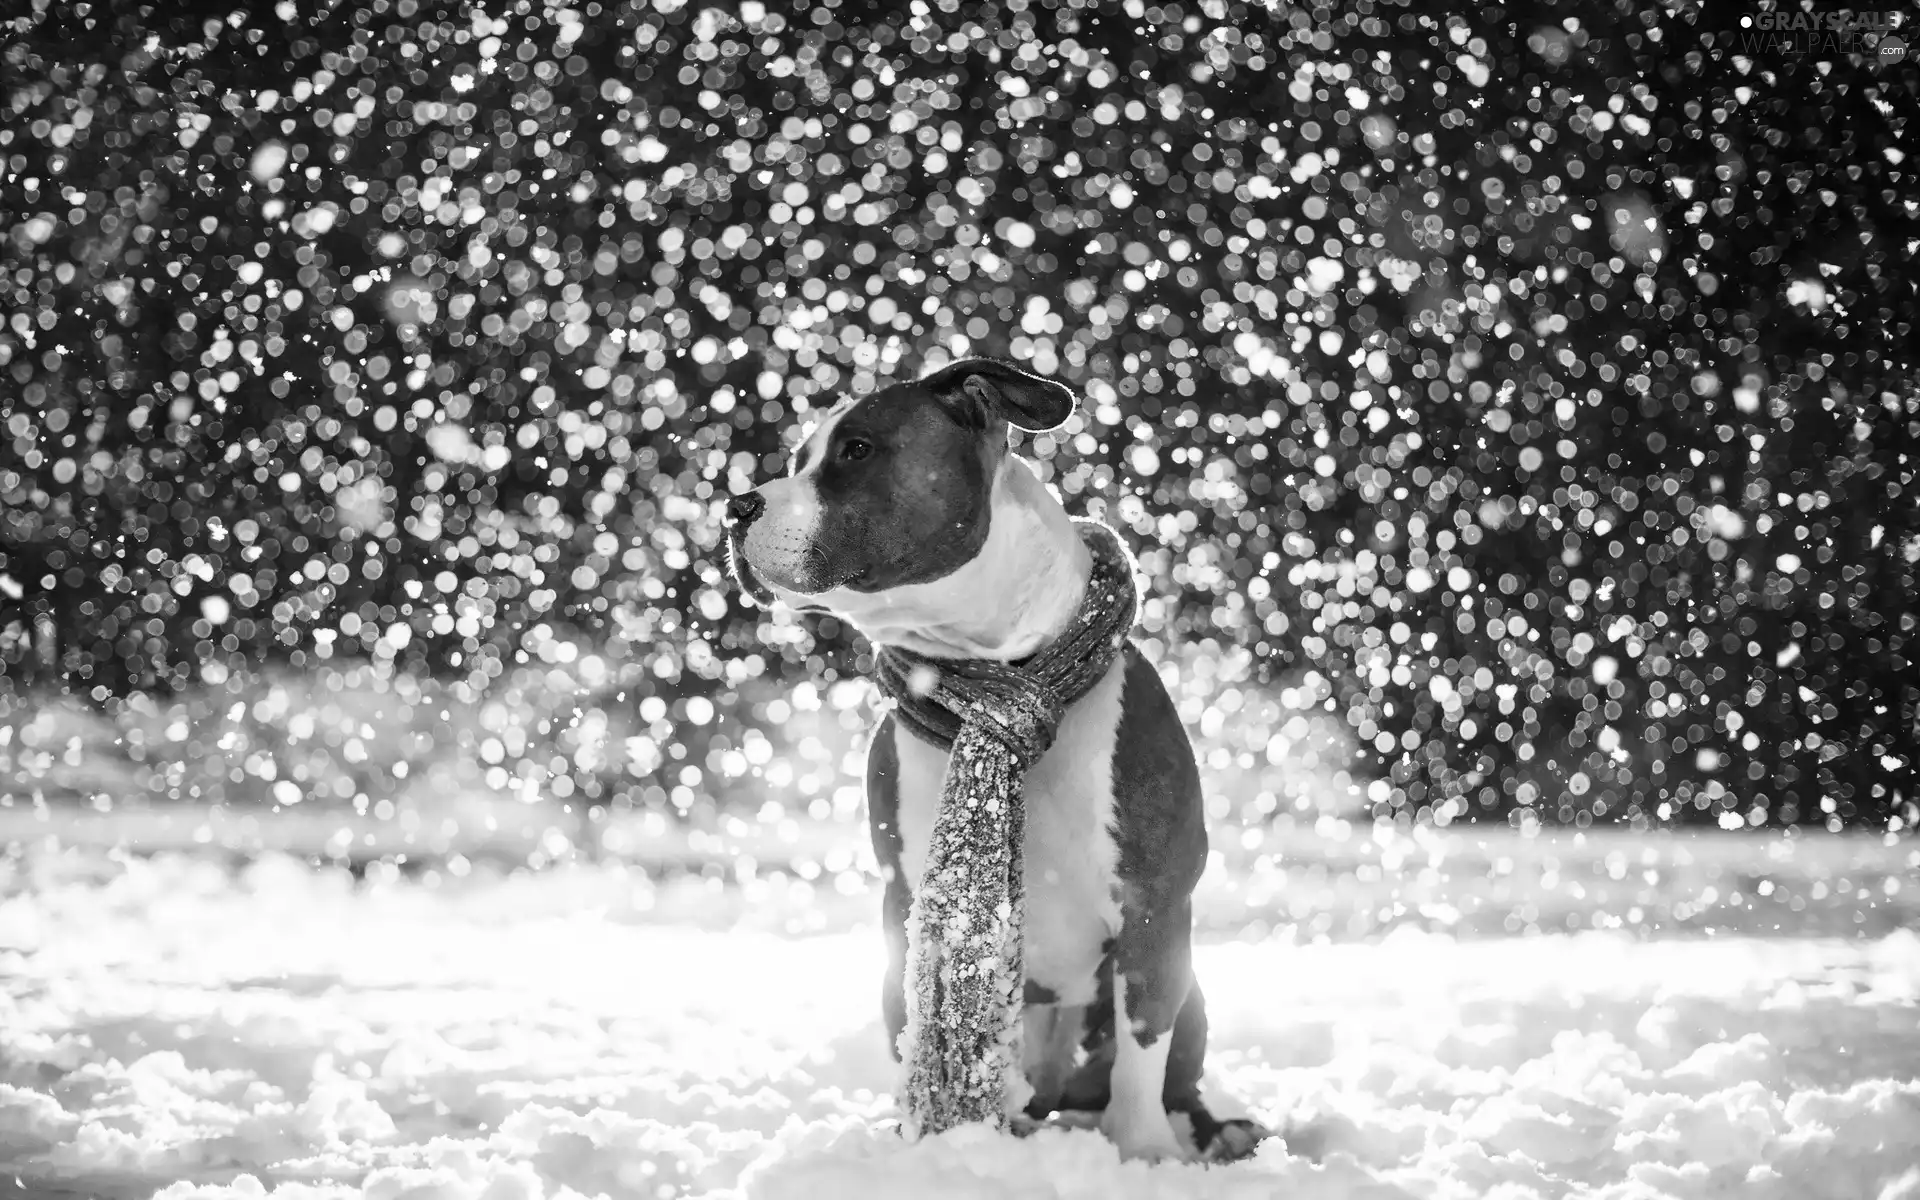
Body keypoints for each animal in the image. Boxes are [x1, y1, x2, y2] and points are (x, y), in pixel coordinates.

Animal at [721, 355, 1259, 1159]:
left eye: (857, 451)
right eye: (796, 462)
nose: (733, 507)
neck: (996, 666)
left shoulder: (1155, 908)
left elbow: (1142, 1053)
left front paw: (1144, 1154)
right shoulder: (904, 902)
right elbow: (915, 1023)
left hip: (1186, 994)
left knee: (1173, 1074)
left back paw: (1214, 1133)